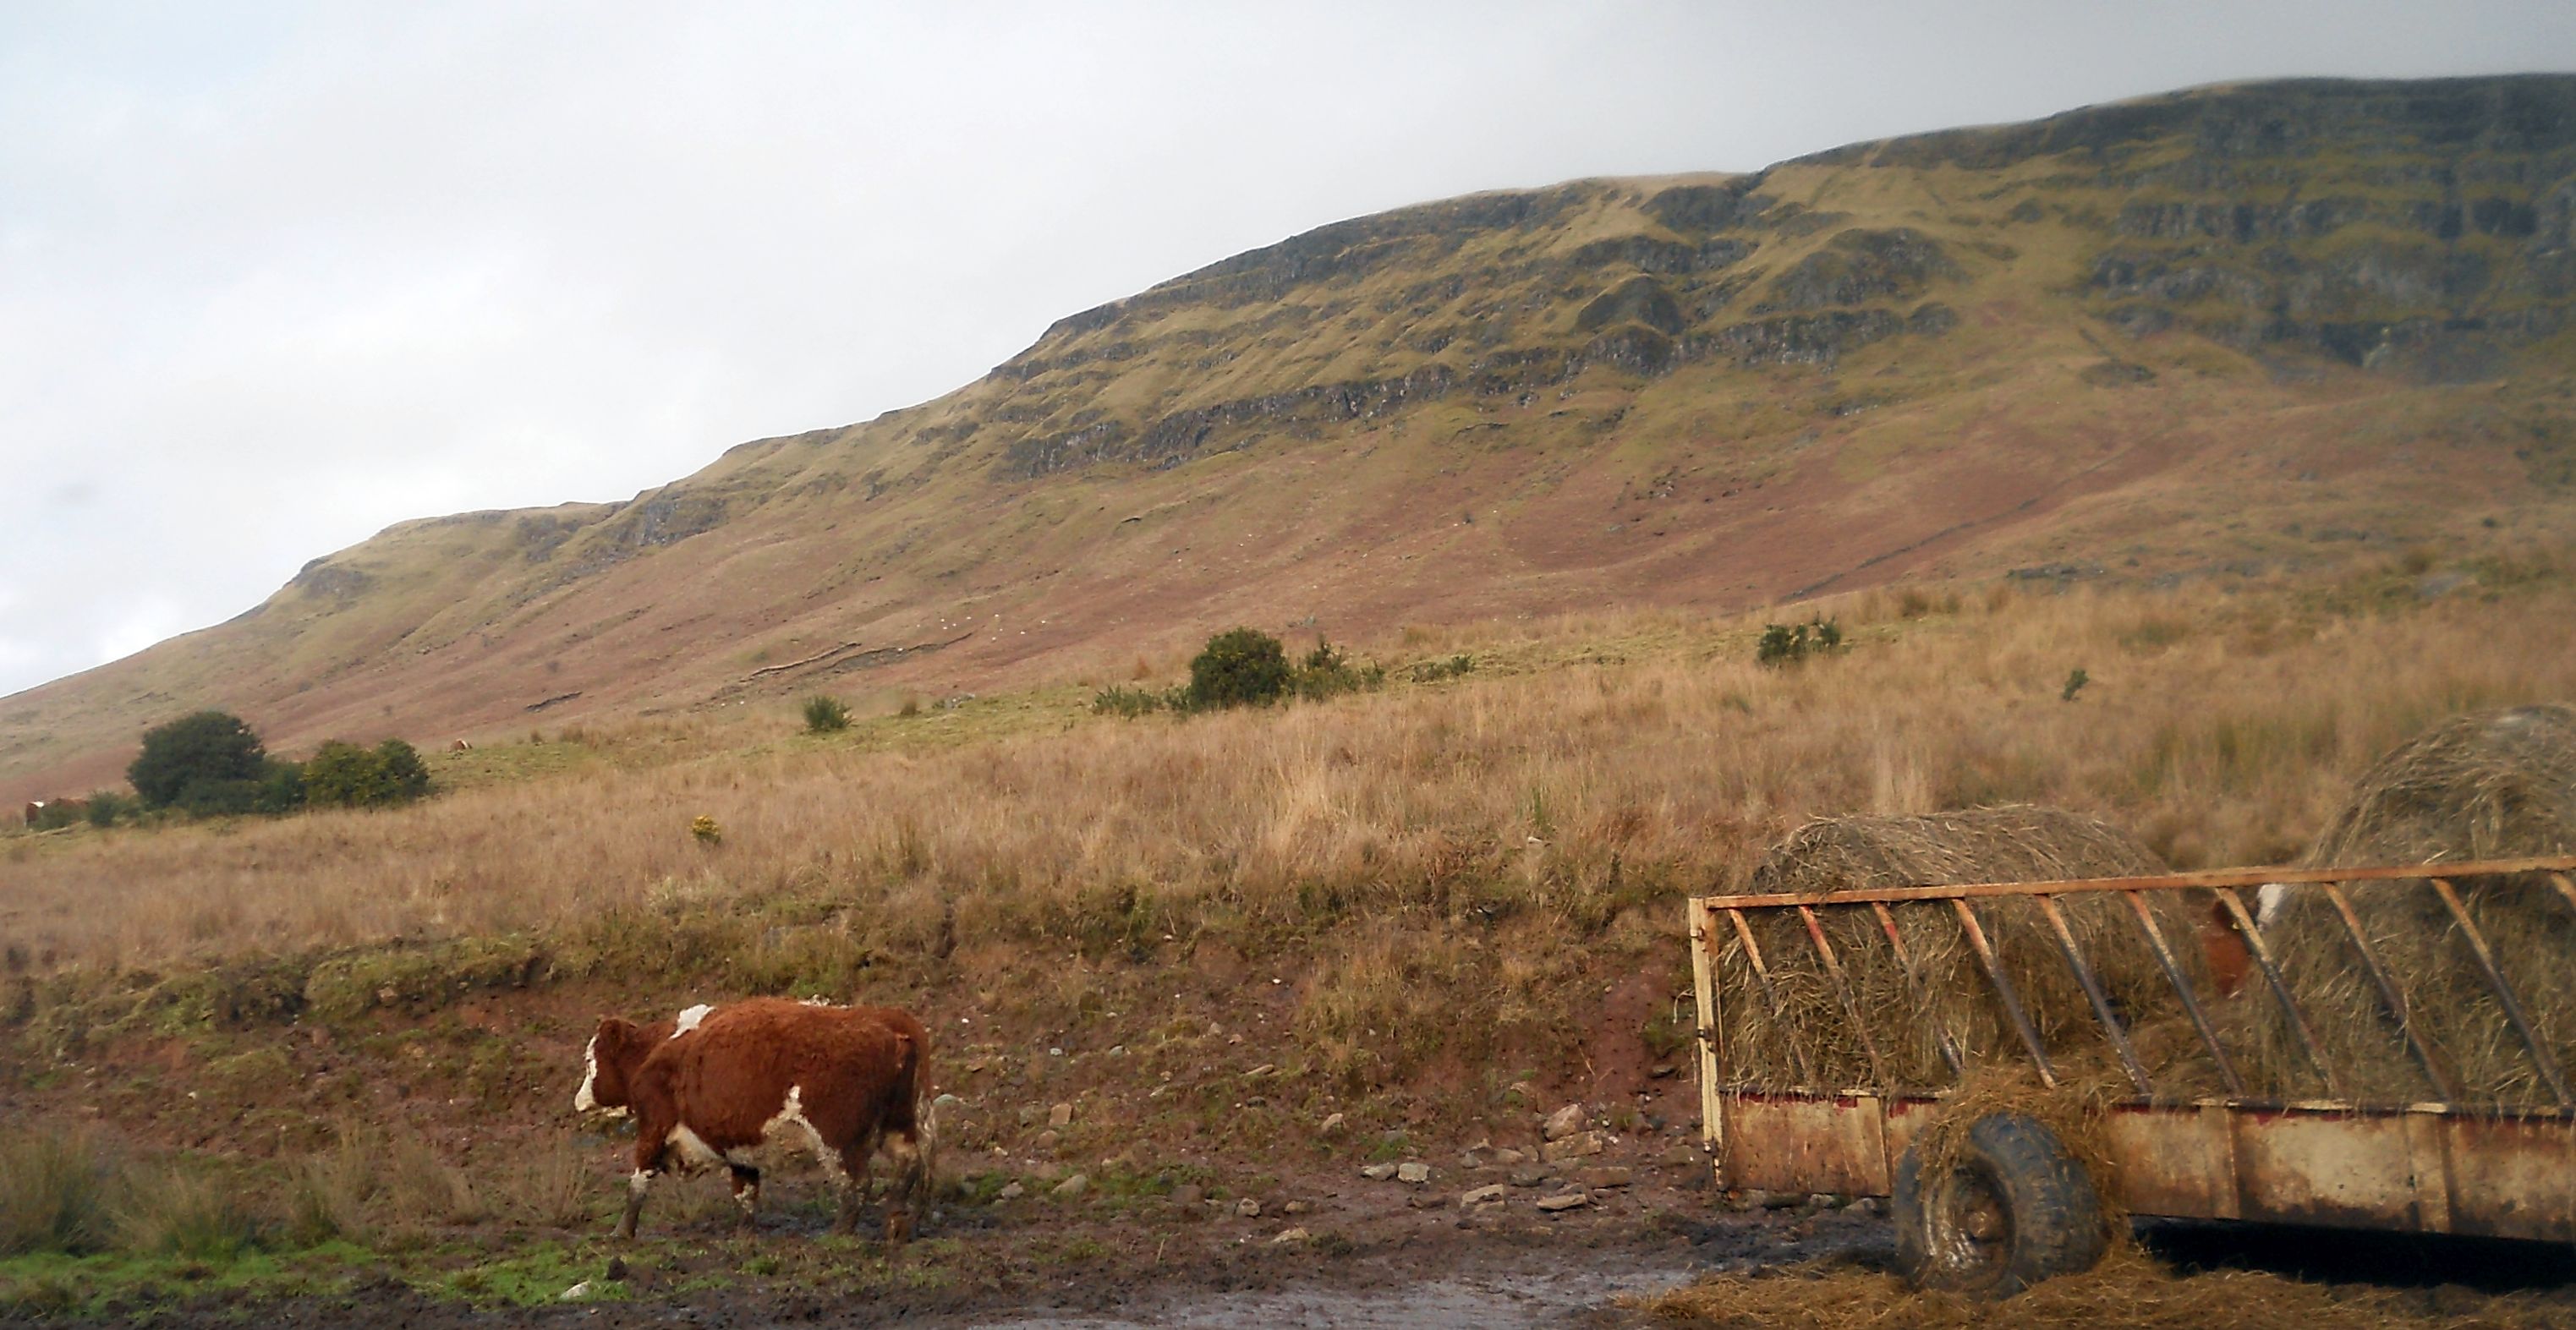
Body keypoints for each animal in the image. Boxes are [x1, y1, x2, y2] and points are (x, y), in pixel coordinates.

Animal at [572, 1004, 927, 1242]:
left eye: (590, 1061)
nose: (579, 1100)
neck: (658, 1049)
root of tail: (890, 1027)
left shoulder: (653, 1127)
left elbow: (638, 1182)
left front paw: (621, 1233)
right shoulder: (738, 1142)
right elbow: (745, 1191)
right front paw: (744, 1235)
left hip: (837, 1137)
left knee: (856, 1182)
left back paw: (839, 1234)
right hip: (898, 1124)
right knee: (908, 1166)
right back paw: (897, 1226)